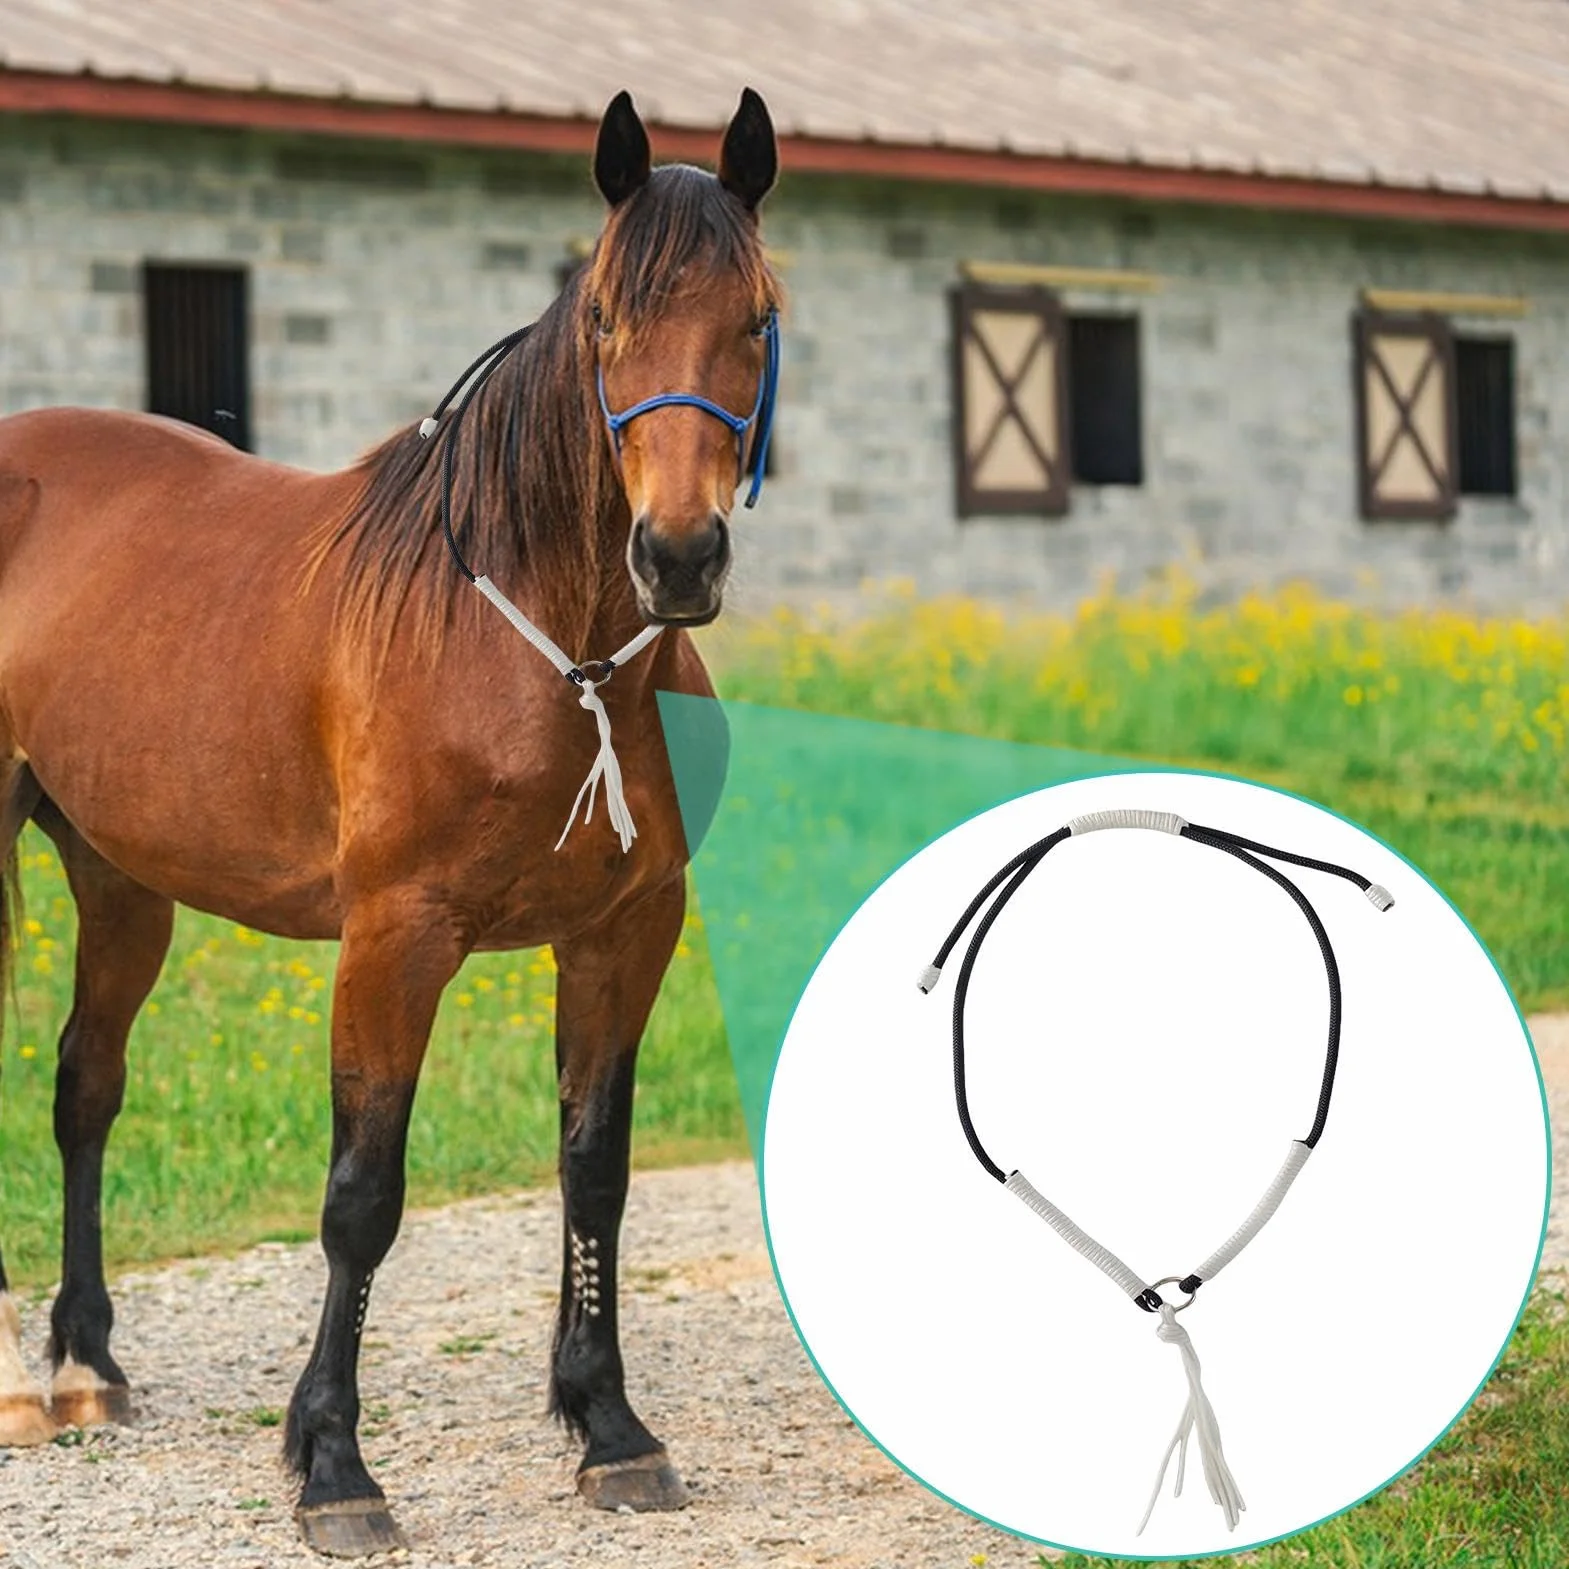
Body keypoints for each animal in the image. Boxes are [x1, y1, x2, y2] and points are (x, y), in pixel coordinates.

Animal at [0, 87, 778, 1555]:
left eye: (759, 317)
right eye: (603, 319)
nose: (678, 556)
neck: (549, 657)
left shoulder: (625, 934)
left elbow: (595, 1170)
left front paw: (609, 1429)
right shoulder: (393, 942)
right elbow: (362, 1201)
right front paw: (333, 1466)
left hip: (123, 878)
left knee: (86, 1085)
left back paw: (83, 1362)